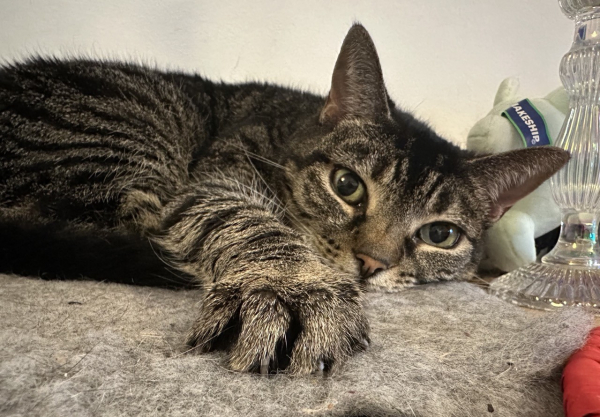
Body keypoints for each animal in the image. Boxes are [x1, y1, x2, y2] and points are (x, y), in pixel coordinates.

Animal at [0, 23, 568, 374]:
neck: (288, 130)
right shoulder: (211, 182)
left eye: (440, 234)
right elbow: (252, 223)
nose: (371, 264)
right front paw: (293, 287)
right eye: (347, 185)